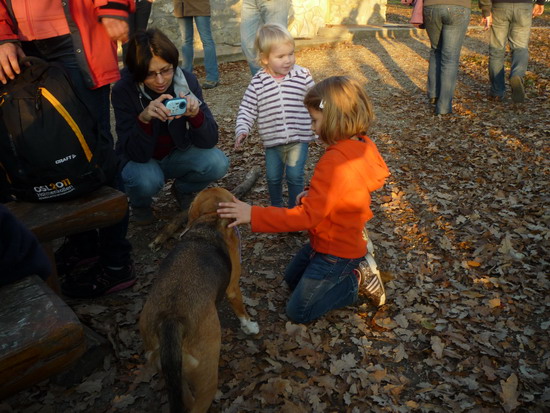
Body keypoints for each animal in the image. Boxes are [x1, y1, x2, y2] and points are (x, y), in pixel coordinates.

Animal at [138, 187, 258, 412]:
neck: (209, 221)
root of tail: (171, 320)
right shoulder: (233, 287)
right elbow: (241, 311)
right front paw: (250, 326)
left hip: (176, 375)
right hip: (207, 378)